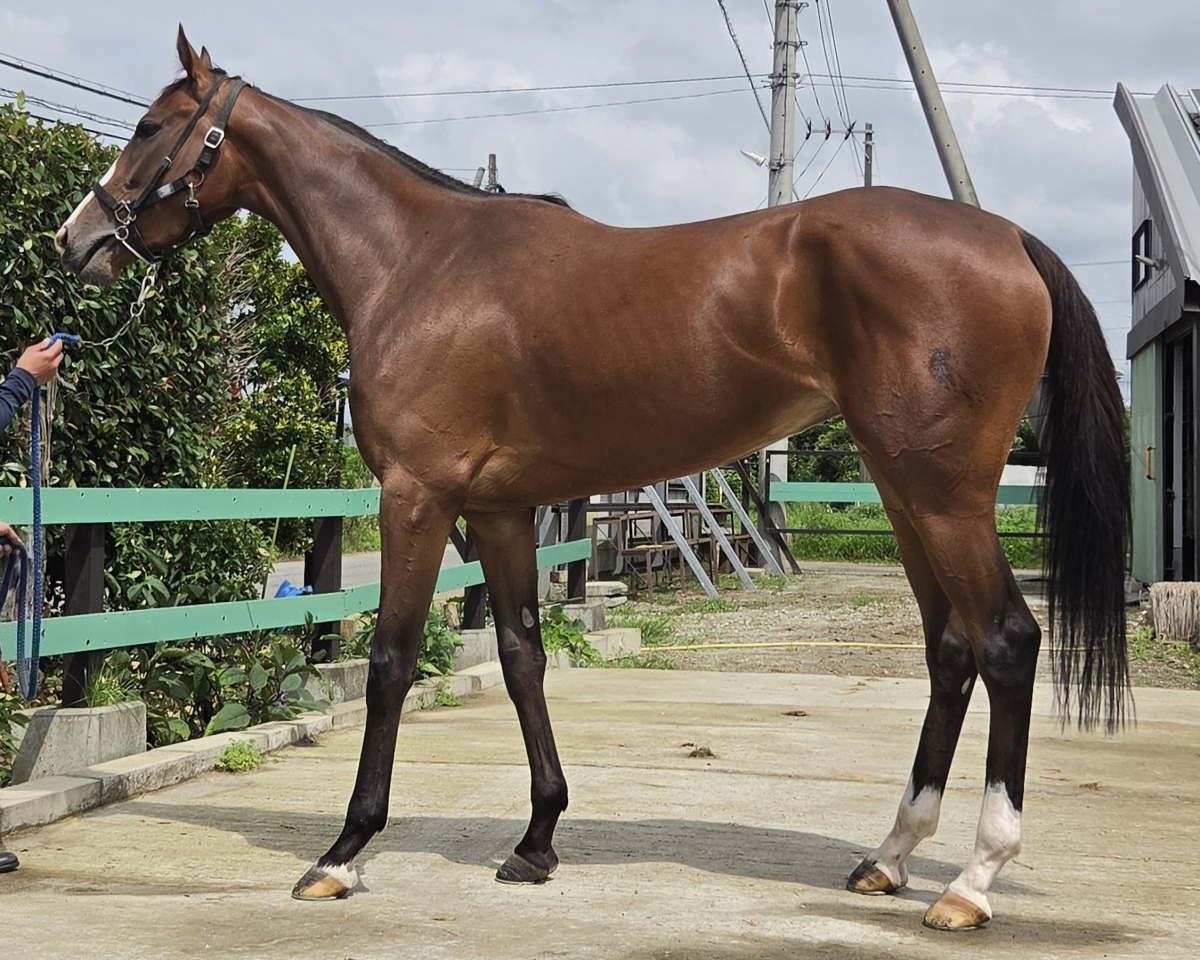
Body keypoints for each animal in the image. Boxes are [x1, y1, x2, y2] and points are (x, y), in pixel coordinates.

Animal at [54, 29, 1128, 931]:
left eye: (149, 128)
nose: (75, 243)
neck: (421, 264)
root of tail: (1007, 237)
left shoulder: (417, 497)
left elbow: (391, 663)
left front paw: (344, 851)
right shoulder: (498, 511)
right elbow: (522, 656)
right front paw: (536, 841)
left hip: (944, 499)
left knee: (1006, 641)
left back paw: (972, 884)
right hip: (910, 498)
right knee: (949, 651)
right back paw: (891, 855)